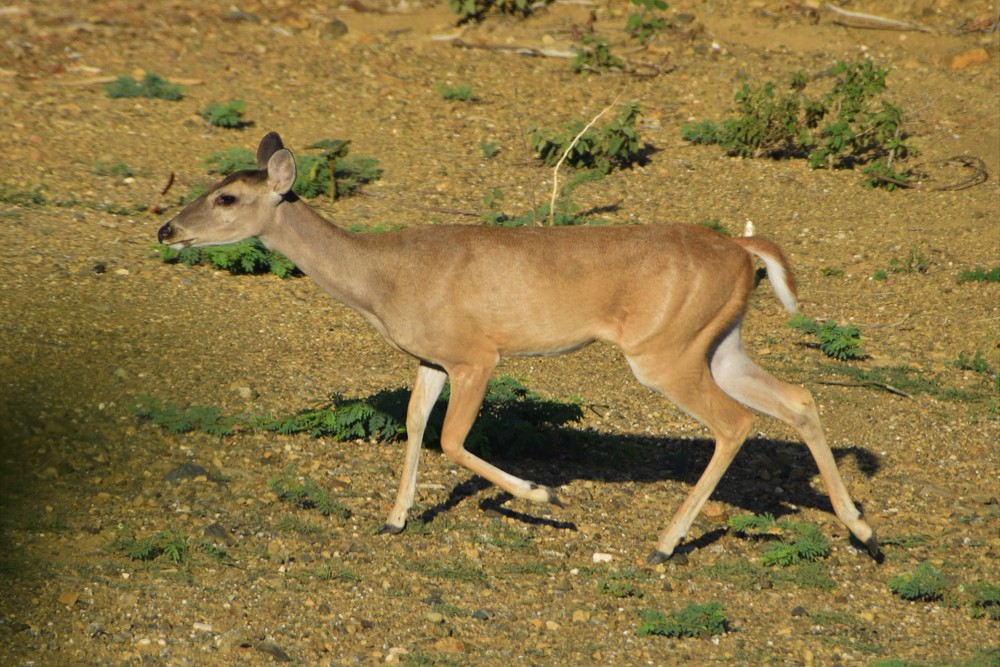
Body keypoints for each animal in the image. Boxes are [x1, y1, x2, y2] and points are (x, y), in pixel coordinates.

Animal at [157, 132, 879, 564]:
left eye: (227, 196)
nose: (166, 228)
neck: (384, 278)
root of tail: (741, 247)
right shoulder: (428, 357)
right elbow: (415, 424)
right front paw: (394, 518)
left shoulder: (478, 353)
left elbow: (451, 438)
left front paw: (543, 496)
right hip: (718, 340)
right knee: (797, 398)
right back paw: (864, 531)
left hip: (665, 349)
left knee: (736, 423)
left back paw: (664, 544)